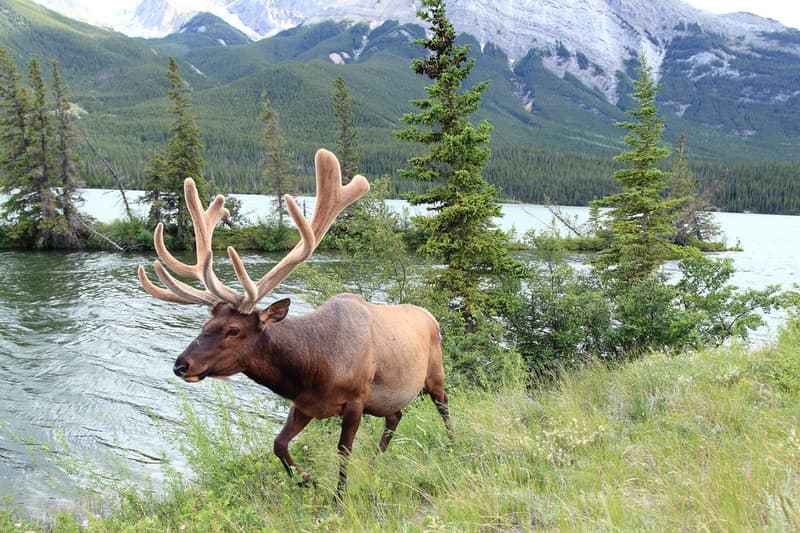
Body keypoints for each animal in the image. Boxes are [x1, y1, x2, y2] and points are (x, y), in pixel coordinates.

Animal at [138, 149, 450, 494]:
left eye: (233, 330)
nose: (182, 365)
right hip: (391, 399)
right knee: (396, 417)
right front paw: (308, 480)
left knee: (444, 407)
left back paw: (454, 444)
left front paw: (338, 497)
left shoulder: (356, 400)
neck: (315, 366)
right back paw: (375, 462)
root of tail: (430, 316)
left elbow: (343, 453)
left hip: (434, 375)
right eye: (204, 327)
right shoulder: (304, 405)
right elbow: (279, 444)